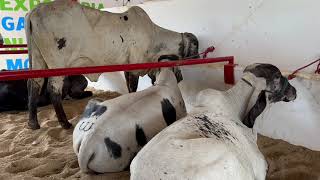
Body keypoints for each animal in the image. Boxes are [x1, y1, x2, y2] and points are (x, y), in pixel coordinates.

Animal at [25, 0, 199, 129]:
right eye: (196, 45)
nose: (198, 57)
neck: (154, 37)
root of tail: (34, 11)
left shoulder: (126, 66)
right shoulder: (134, 65)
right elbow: (133, 88)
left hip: (37, 59)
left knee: (34, 84)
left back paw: (33, 123)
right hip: (57, 64)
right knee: (53, 90)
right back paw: (64, 123)